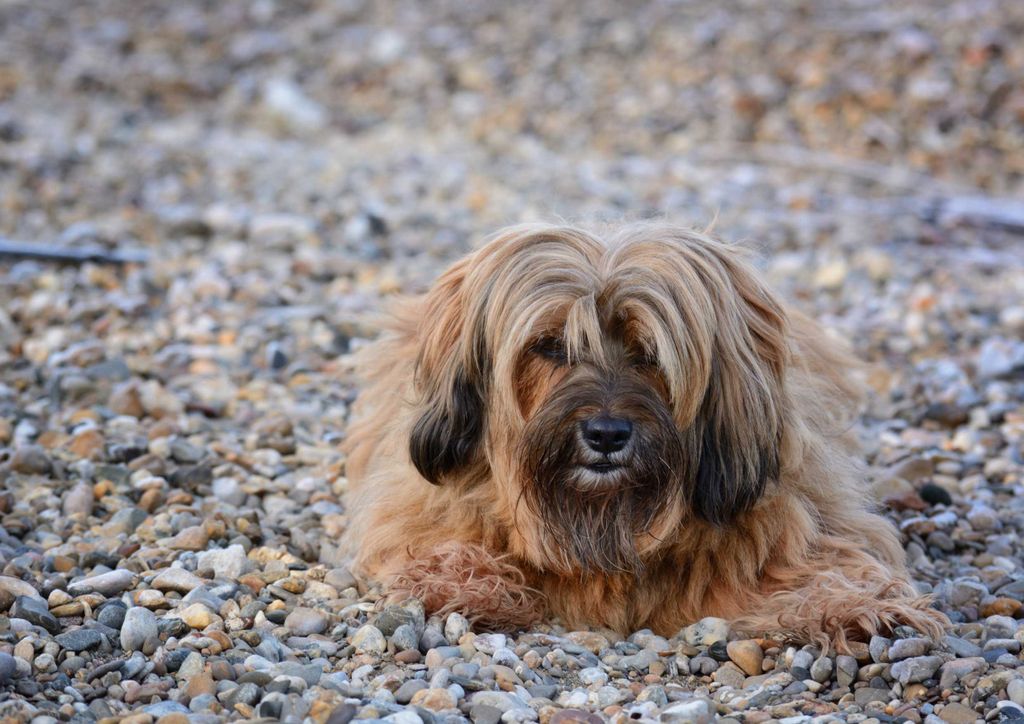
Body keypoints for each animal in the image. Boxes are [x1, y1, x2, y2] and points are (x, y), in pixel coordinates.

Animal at [341, 222, 947, 650]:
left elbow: (824, 562)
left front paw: (856, 606)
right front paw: (465, 584)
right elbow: (442, 543)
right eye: (549, 345)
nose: (606, 434)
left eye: (650, 352)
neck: (604, 518)